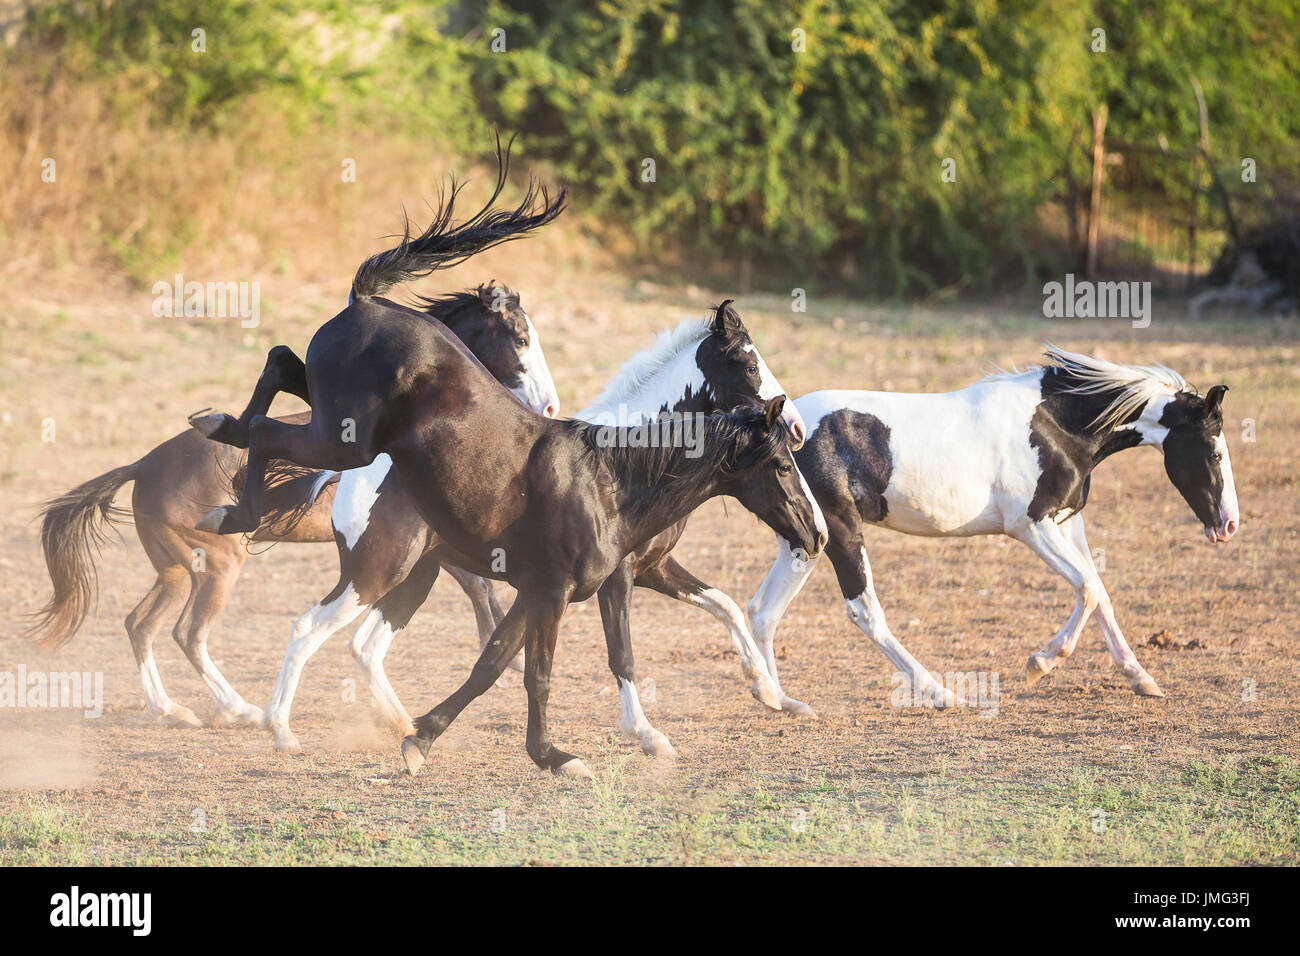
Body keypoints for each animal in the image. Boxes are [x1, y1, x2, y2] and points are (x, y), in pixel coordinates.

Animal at [257, 303, 816, 749]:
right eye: (749, 363)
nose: (796, 428)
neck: (619, 468)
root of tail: (356, 470)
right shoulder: (617, 578)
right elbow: (622, 653)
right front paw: (645, 733)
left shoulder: (654, 567)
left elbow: (724, 605)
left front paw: (772, 694)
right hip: (380, 573)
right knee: (314, 631)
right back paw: (283, 730)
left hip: (417, 576)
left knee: (366, 647)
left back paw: (405, 726)